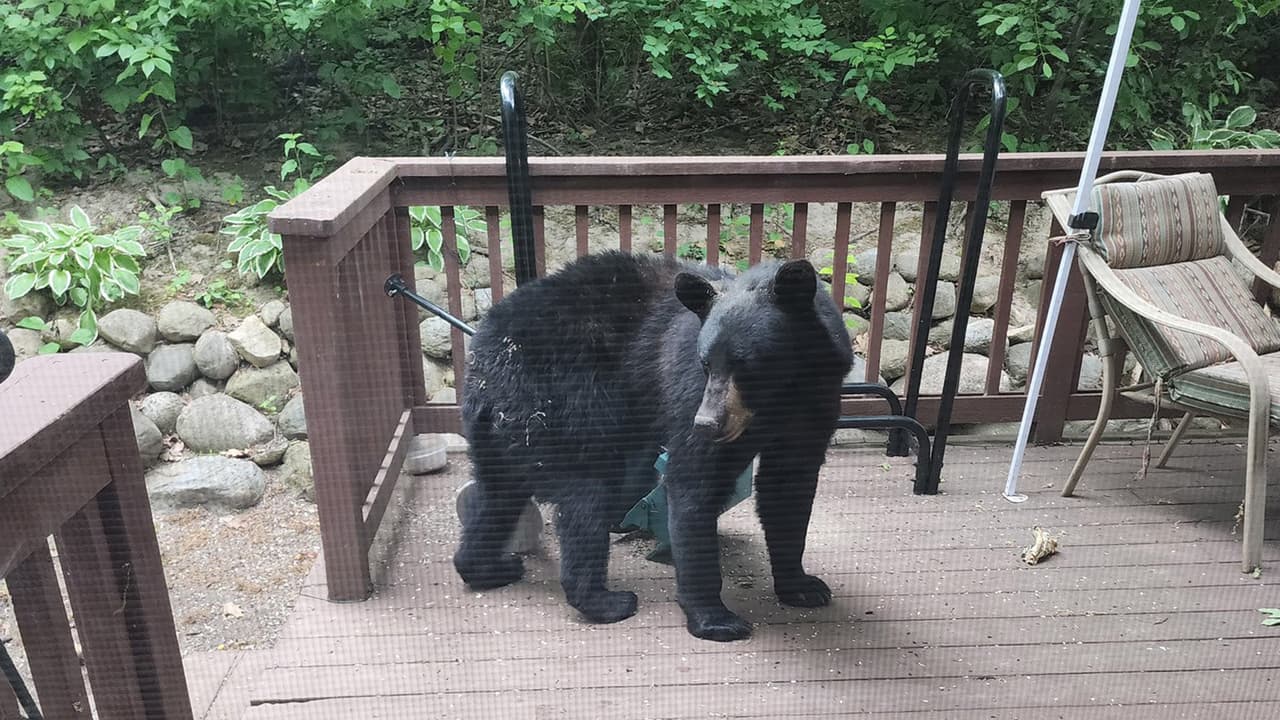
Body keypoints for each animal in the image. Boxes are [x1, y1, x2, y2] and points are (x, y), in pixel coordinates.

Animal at [454, 250, 852, 641]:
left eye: (746, 364)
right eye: (706, 364)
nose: (706, 423)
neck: (781, 396)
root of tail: (483, 357)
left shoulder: (817, 400)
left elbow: (788, 487)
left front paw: (801, 586)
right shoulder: (690, 393)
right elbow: (693, 483)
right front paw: (714, 619)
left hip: (504, 432)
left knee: (497, 496)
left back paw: (488, 567)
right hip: (558, 403)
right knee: (586, 495)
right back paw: (605, 600)